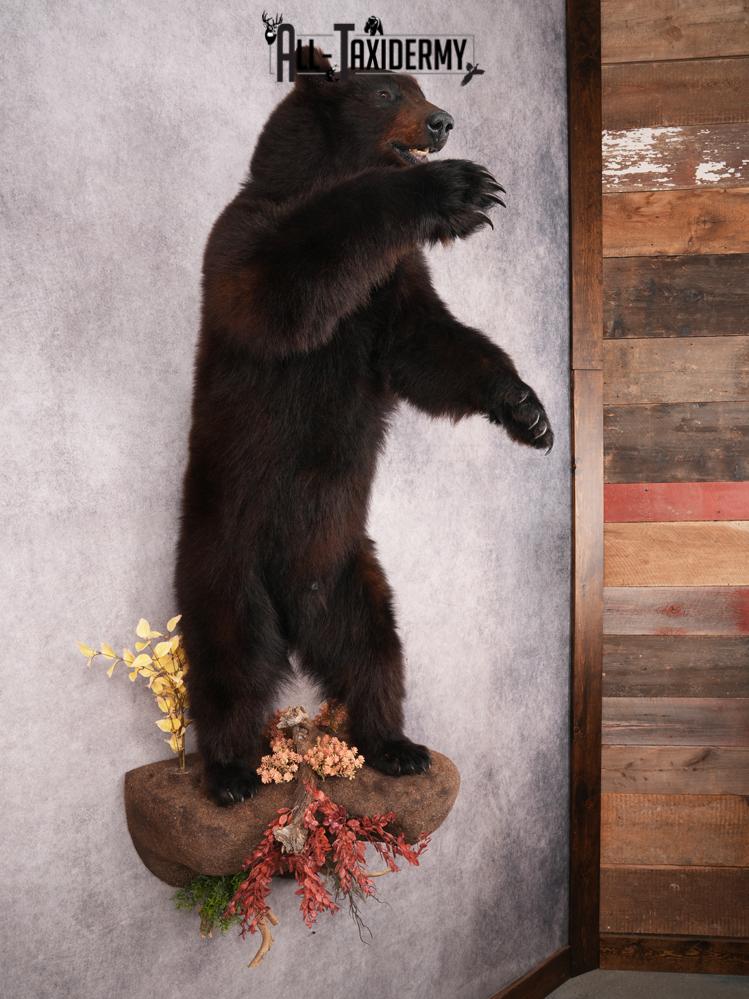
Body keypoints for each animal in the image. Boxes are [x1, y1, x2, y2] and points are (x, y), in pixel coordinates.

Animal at [175, 53, 553, 807]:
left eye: (421, 86)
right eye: (385, 92)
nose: (443, 121)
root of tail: (293, 607)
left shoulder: (392, 286)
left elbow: (428, 344)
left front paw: (528, 410)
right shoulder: (245, 237)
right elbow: (283, 286)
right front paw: (461, 186)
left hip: (349, 571)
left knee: (372, 652)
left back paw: (394, 745)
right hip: (224, 553)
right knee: (232, 661)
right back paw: (230, 772)